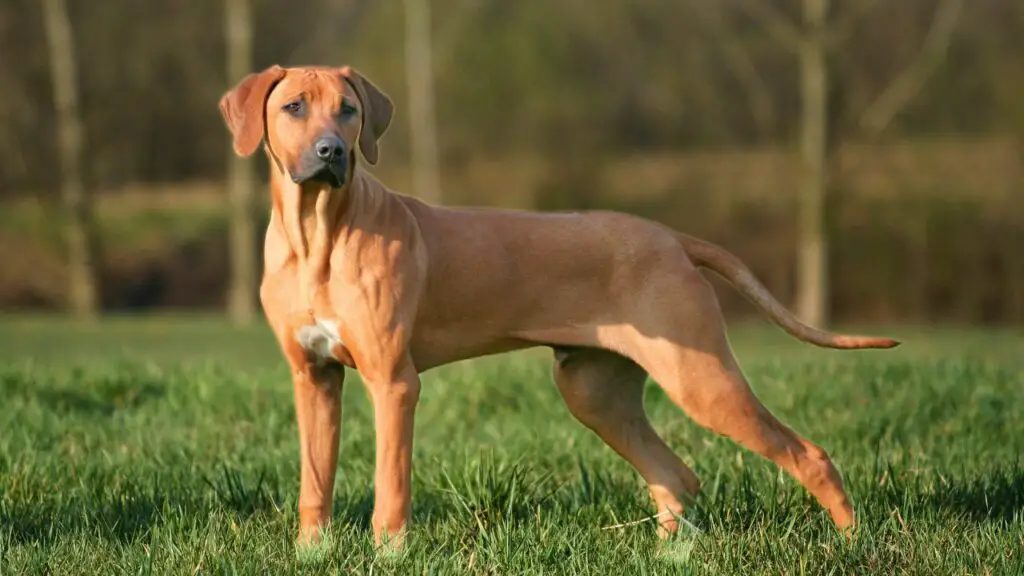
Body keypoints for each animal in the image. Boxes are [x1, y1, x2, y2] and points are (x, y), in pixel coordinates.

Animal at [220, 62, 901, 545]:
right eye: (294, 107)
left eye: (350, 110)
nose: (332, 151)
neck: (318, 234)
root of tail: (672, 238)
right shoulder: (314, 377)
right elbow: (315, 481)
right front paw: (311, 551)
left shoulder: (394, 381)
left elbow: (391, 486)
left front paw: (388, 555)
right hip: (594, 390)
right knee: (677, 475)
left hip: (700, 378)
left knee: (808, 455)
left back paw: (852, 542)